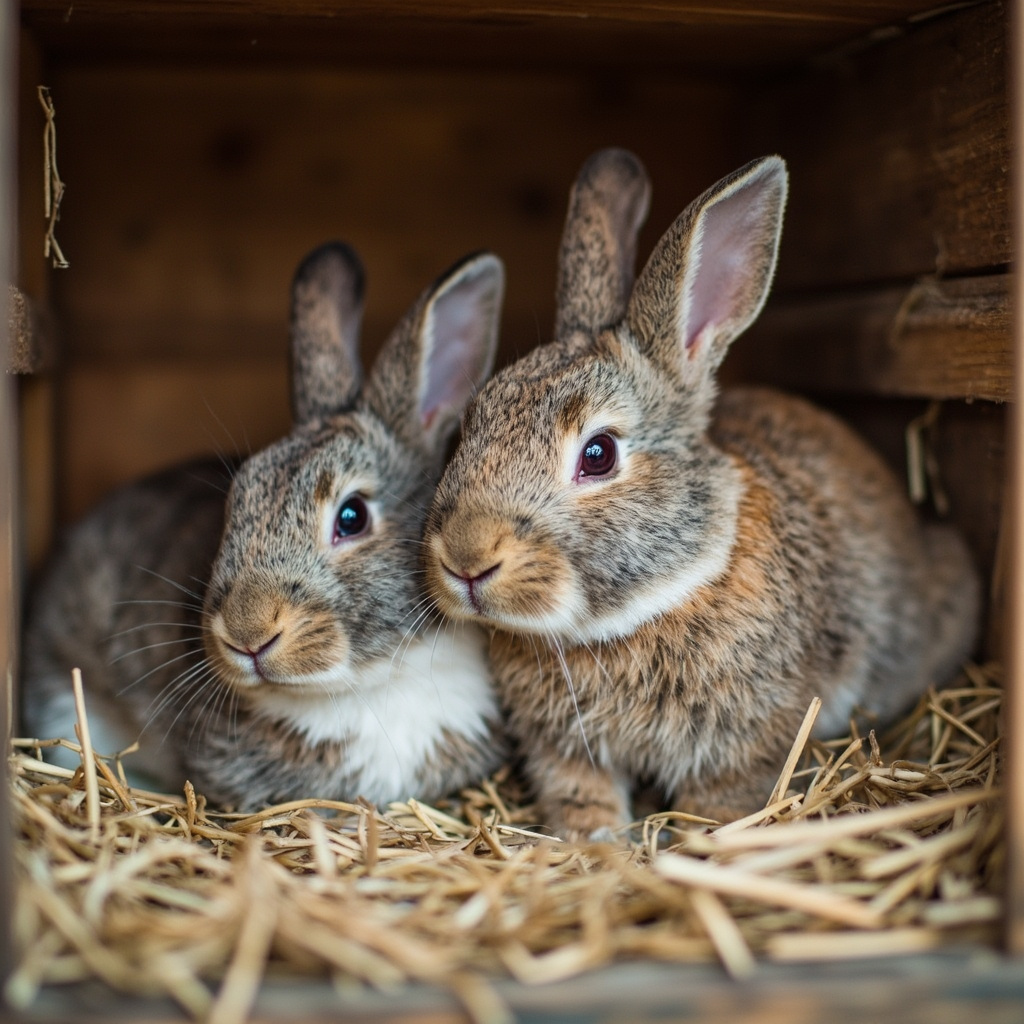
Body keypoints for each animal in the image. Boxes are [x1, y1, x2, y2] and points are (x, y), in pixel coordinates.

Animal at [422, 149, 980, 841]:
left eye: (598, 455)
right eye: (471, 425)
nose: (466, 558)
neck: (635, 615)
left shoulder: (745, 741)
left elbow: (719, 802)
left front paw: (699, 842)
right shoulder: (565, 751)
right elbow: (581, 797)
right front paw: (594, 842)